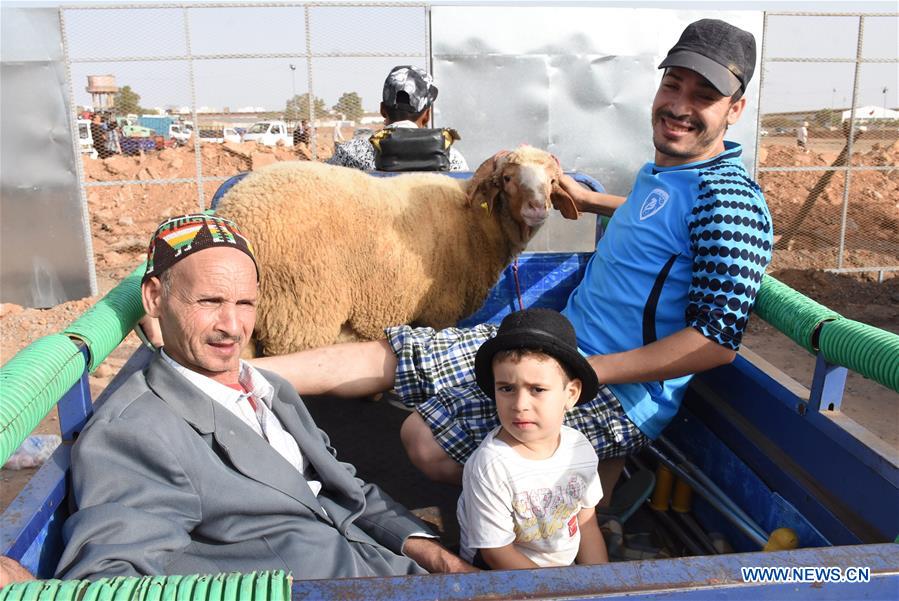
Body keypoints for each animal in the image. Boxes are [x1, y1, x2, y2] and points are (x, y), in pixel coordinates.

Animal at [218, 146, 584, 356]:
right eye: (507, 178)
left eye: (553, 181)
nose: (538, 208)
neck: (476, 221)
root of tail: (234, 213)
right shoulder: (440, 312)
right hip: (298, 317)